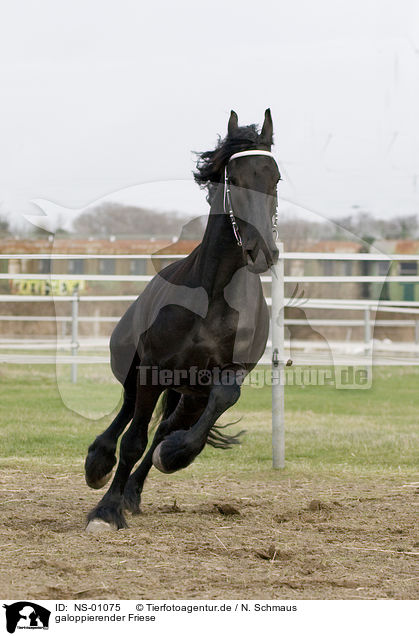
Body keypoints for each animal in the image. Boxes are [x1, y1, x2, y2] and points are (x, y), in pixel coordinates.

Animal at [84, 108, 282, 532]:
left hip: (189, 394)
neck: (215, 297)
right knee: (129, 413)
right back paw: (98, 463)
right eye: (234, 179)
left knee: (164, 427)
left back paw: (134, 492)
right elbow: (134, 441)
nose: (263, 251)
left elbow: (214, 406)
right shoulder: (154, 369)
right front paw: (106, 513)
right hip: (137, 368)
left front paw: (174, 456)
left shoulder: (227, 375)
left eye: (275, 179)